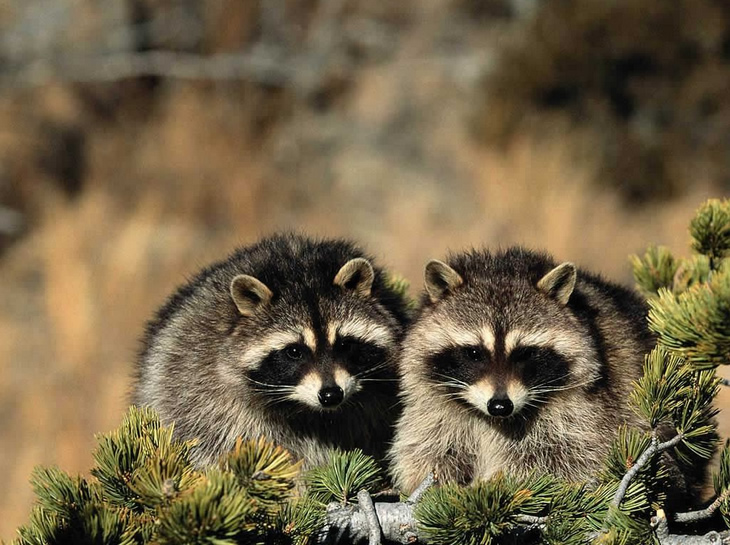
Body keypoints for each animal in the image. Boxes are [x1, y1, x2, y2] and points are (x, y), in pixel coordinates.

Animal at [389, 247, 656, 493]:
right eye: (474, 353)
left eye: (525, 353)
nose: (500, 406)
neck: (493, 420)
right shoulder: (434, 411)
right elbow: (429, 451)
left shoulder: (585, 411)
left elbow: (562, 460)